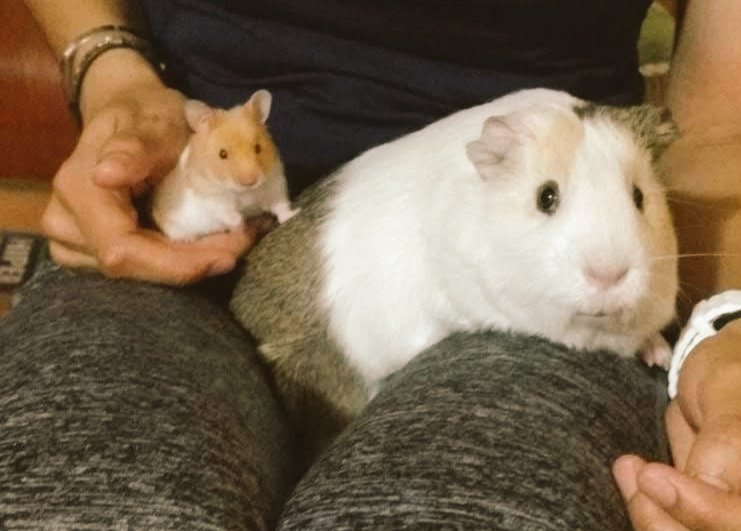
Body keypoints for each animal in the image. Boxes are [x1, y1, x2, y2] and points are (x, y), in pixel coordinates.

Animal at [151, 90, 298, 241]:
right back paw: (188, 239)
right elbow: (231, 215)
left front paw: (293, 214)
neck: (245, 192)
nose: (250, 182)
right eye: (222, 154)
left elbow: (280, 205)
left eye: (258, 148)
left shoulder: (275, 185)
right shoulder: (213, 200)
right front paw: (241, 228)